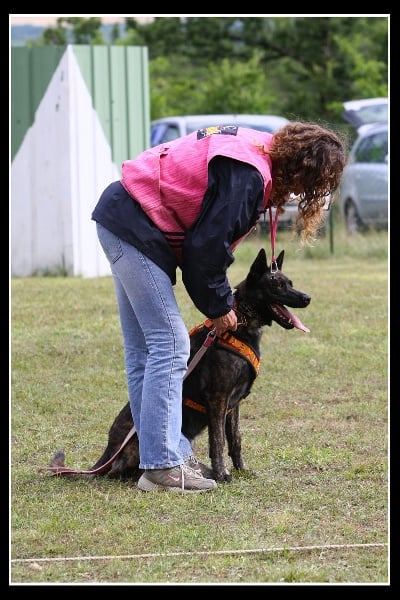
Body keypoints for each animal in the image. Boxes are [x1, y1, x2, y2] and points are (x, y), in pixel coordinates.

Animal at [45, 248, 311, 483]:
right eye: (278, 286)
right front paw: (223, 474)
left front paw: (241, 469)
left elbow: (235, 439)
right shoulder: (218, 399)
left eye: (290, 283)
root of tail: (110, 449)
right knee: (118, 471)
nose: (307, 298)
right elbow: (218, 441)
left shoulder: (233, 405)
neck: (243, 323)